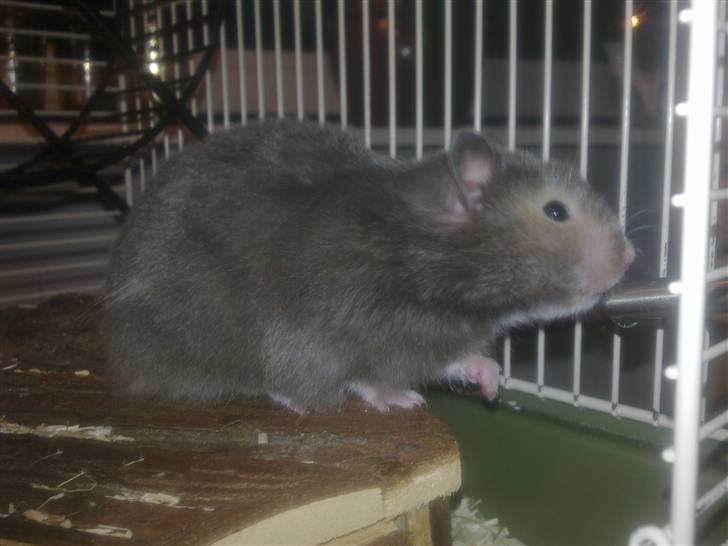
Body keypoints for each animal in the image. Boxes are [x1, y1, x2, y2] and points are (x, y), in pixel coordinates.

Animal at [102, 119, 634, 413]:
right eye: (556, 211)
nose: (632, 256)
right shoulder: (337, 332)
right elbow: (365, 375)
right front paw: (404, 401)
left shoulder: (432, 337)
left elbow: (456, 359)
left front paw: (490, 384)